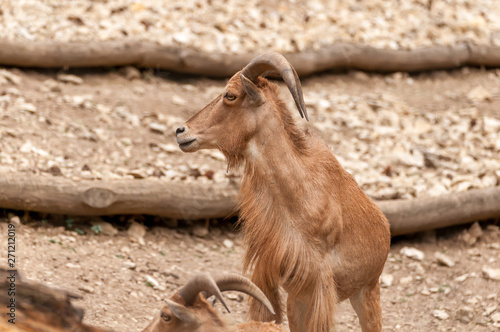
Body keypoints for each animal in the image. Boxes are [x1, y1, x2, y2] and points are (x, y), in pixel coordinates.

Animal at [176, 53, 390, 330]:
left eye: (230, 95)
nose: (181, 131)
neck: (296, 194)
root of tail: (384, 230)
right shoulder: (284, 286)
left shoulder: (318, 290)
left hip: (367, 291)